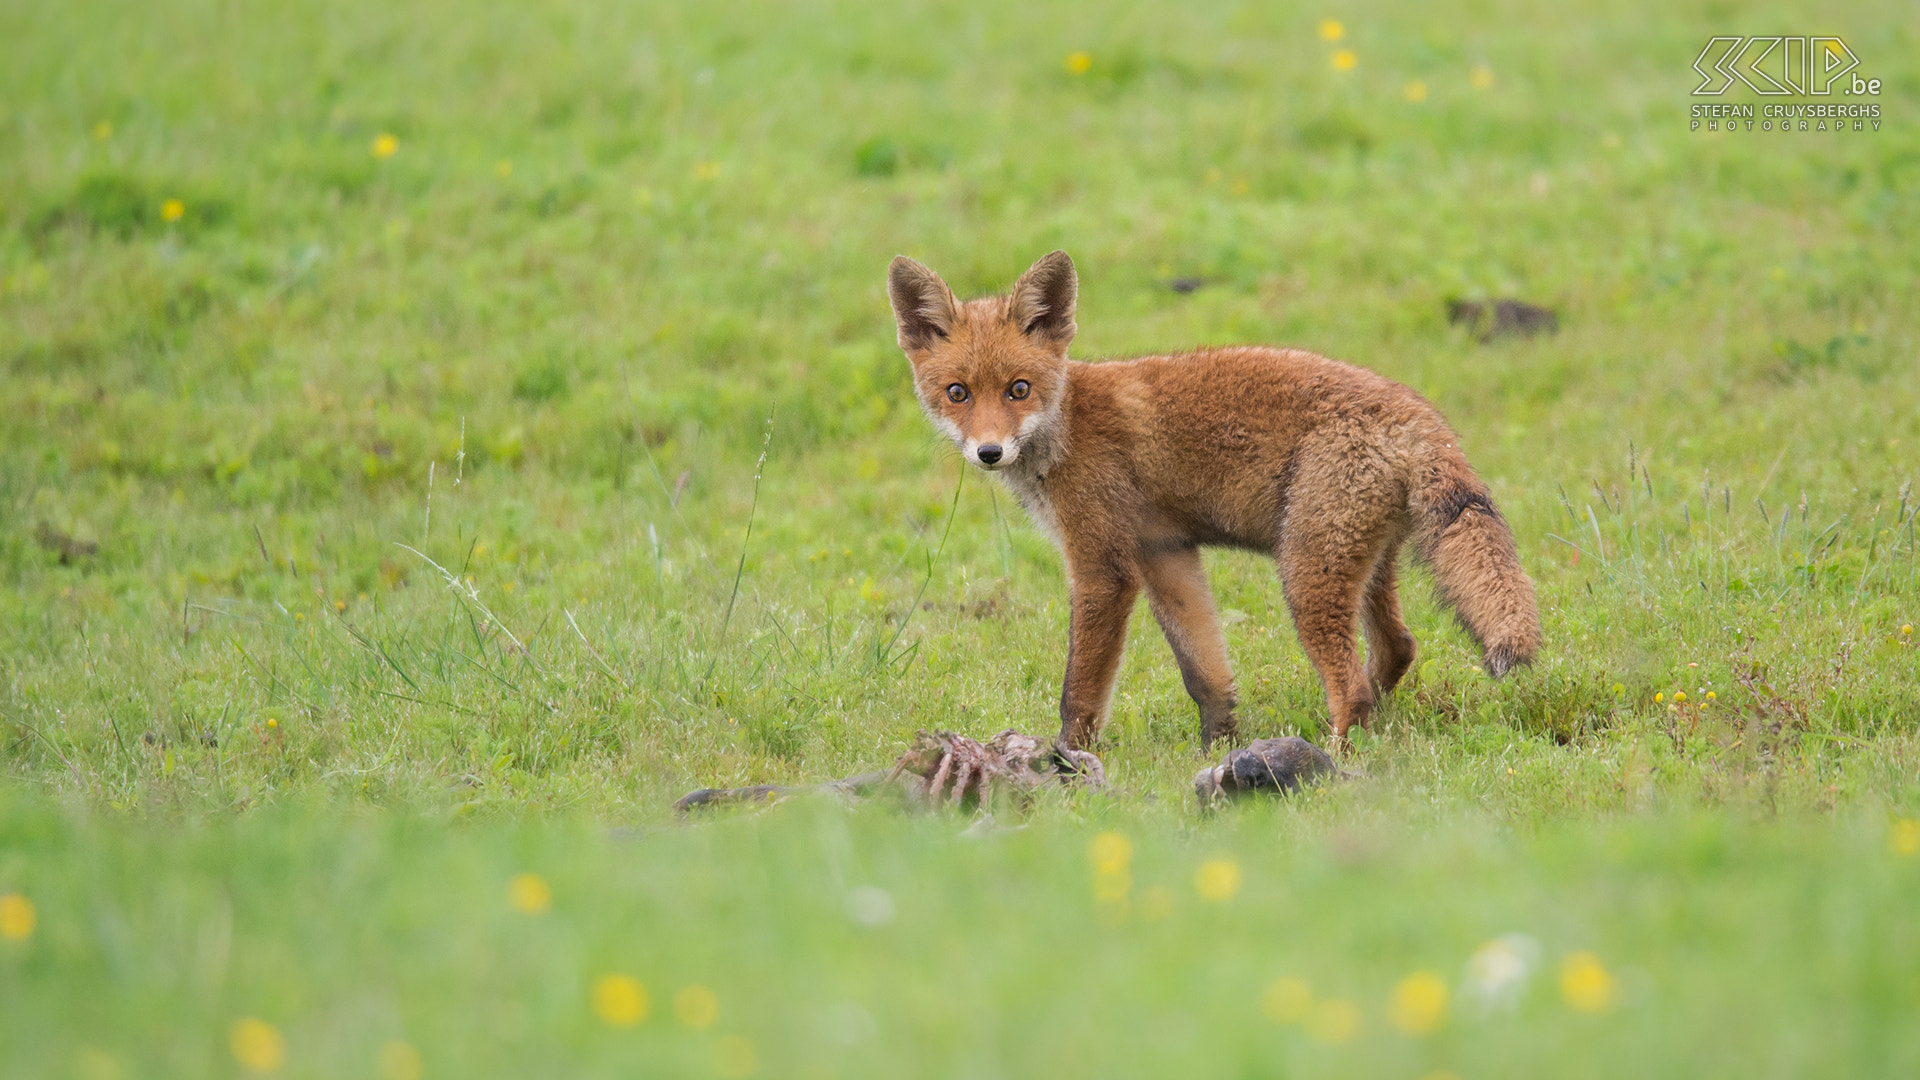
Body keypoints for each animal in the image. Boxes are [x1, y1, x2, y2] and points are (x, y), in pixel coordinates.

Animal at [887, 250, 1541, 752]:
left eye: (1018, 389)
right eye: (957, 393)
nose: (989, 452)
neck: (1067, 429)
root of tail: (1417, 416)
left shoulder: (1104, 569)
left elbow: (1080, 691)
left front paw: (1068, 762)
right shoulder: (1164, 553)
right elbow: (1205, 673)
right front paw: (1218, 745)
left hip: (1304, 575)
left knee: (1351, 685)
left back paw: (1336, 759)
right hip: (1364, 565)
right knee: (1399, 648)